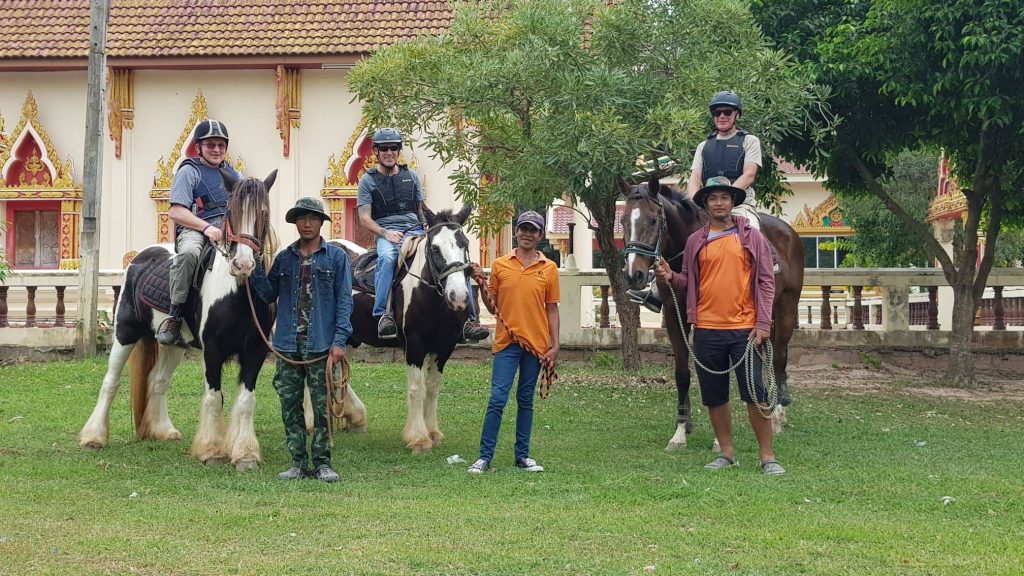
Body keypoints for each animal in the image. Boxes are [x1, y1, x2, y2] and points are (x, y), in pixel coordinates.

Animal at [80, 168, 278, 469]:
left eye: (264, 212)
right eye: (230, 211)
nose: (242, 265)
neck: (238, 294)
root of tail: (140, 257)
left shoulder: (255, 350)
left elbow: (246, 401)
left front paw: (245, 454)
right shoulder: (213, 351)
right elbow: (213, 397)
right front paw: (211, 451)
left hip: (173, 345)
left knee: (158, 381)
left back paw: (163, 430)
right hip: (125, 333)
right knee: (110, 382)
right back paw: (93, 438)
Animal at [329, 203, 473, 450]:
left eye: (465, 243)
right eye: (434, 248)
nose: (458, 296)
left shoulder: (445, 346)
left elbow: (432, 388)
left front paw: (433, 432)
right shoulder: (414, 344)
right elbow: (417, 388)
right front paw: (419, 438)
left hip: (348, 339)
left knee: (339, 372)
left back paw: (353, 418)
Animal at [618, 174, 802, 448]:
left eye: (652, 220)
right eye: (623, 221)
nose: (634, 274)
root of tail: (788, 232)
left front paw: (718, 437)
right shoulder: (674, 315)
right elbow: (682, 372)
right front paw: (681, 430)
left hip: (786, 307)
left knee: (779, 357)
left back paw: (778, 414)